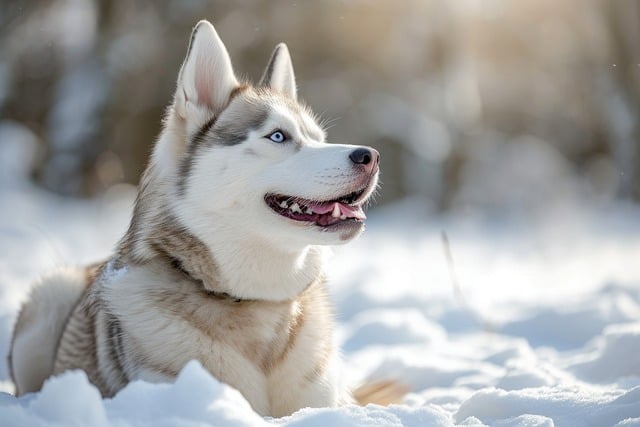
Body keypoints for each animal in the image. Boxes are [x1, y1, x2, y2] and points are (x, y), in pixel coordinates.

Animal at [10, 20, 398, 418]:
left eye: (318, 138)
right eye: (278, 136)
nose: (370, 156)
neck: (253, 303)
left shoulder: (323, 402)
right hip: (50, 296)